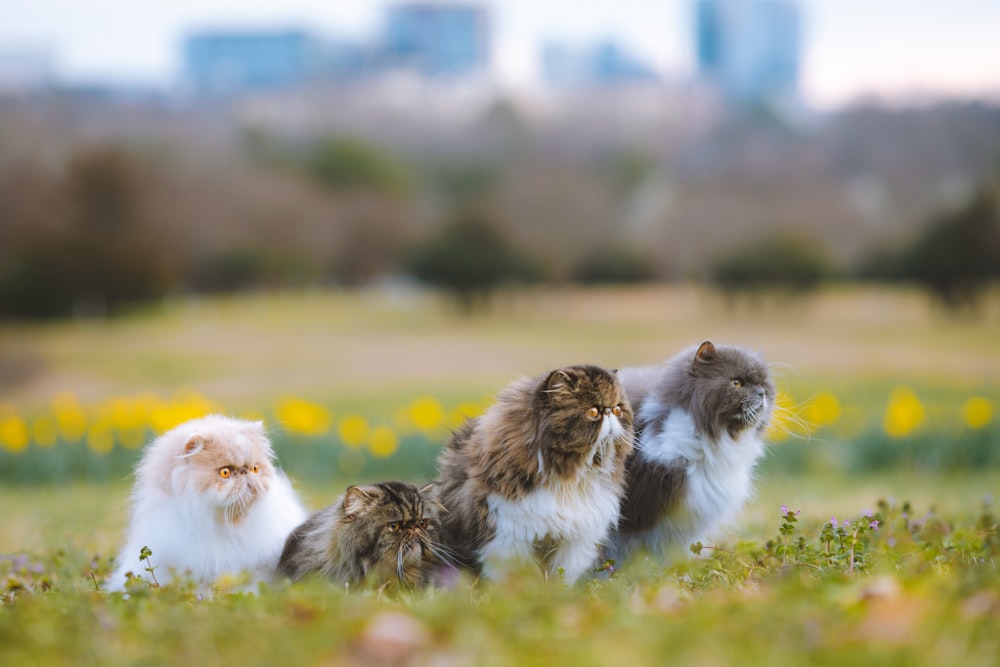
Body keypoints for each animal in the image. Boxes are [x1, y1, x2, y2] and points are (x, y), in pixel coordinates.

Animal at [436, 366, 632, 584]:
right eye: (593, 412)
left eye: (618, 410)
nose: (610, 412)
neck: (568, 480)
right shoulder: (508, 536)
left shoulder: (575, 543)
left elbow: (562, 578)